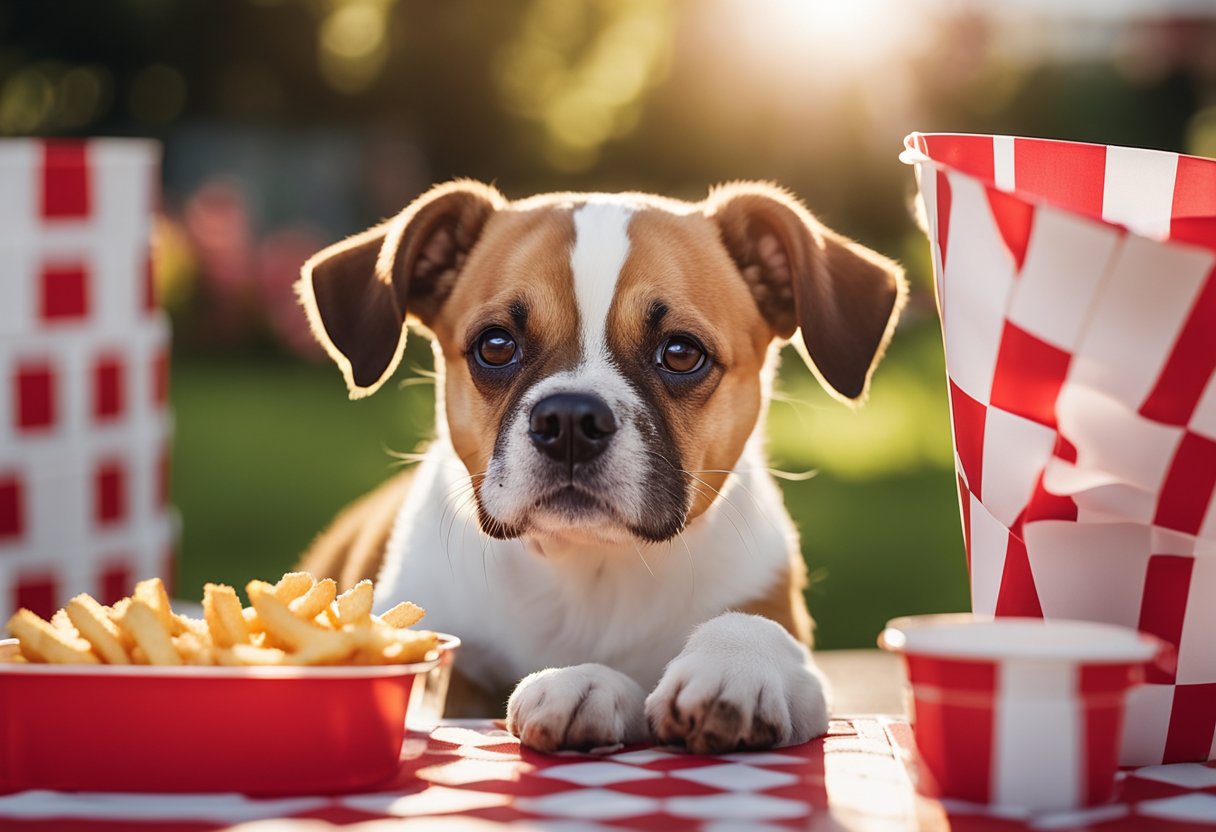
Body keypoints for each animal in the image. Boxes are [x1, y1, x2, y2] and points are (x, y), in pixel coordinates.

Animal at [294, 182, 904, 754]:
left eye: (682, 352)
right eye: (495, 345)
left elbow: (755, 630)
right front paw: (581, 680)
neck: (590, 568)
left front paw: (734, 665)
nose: (569, 419)